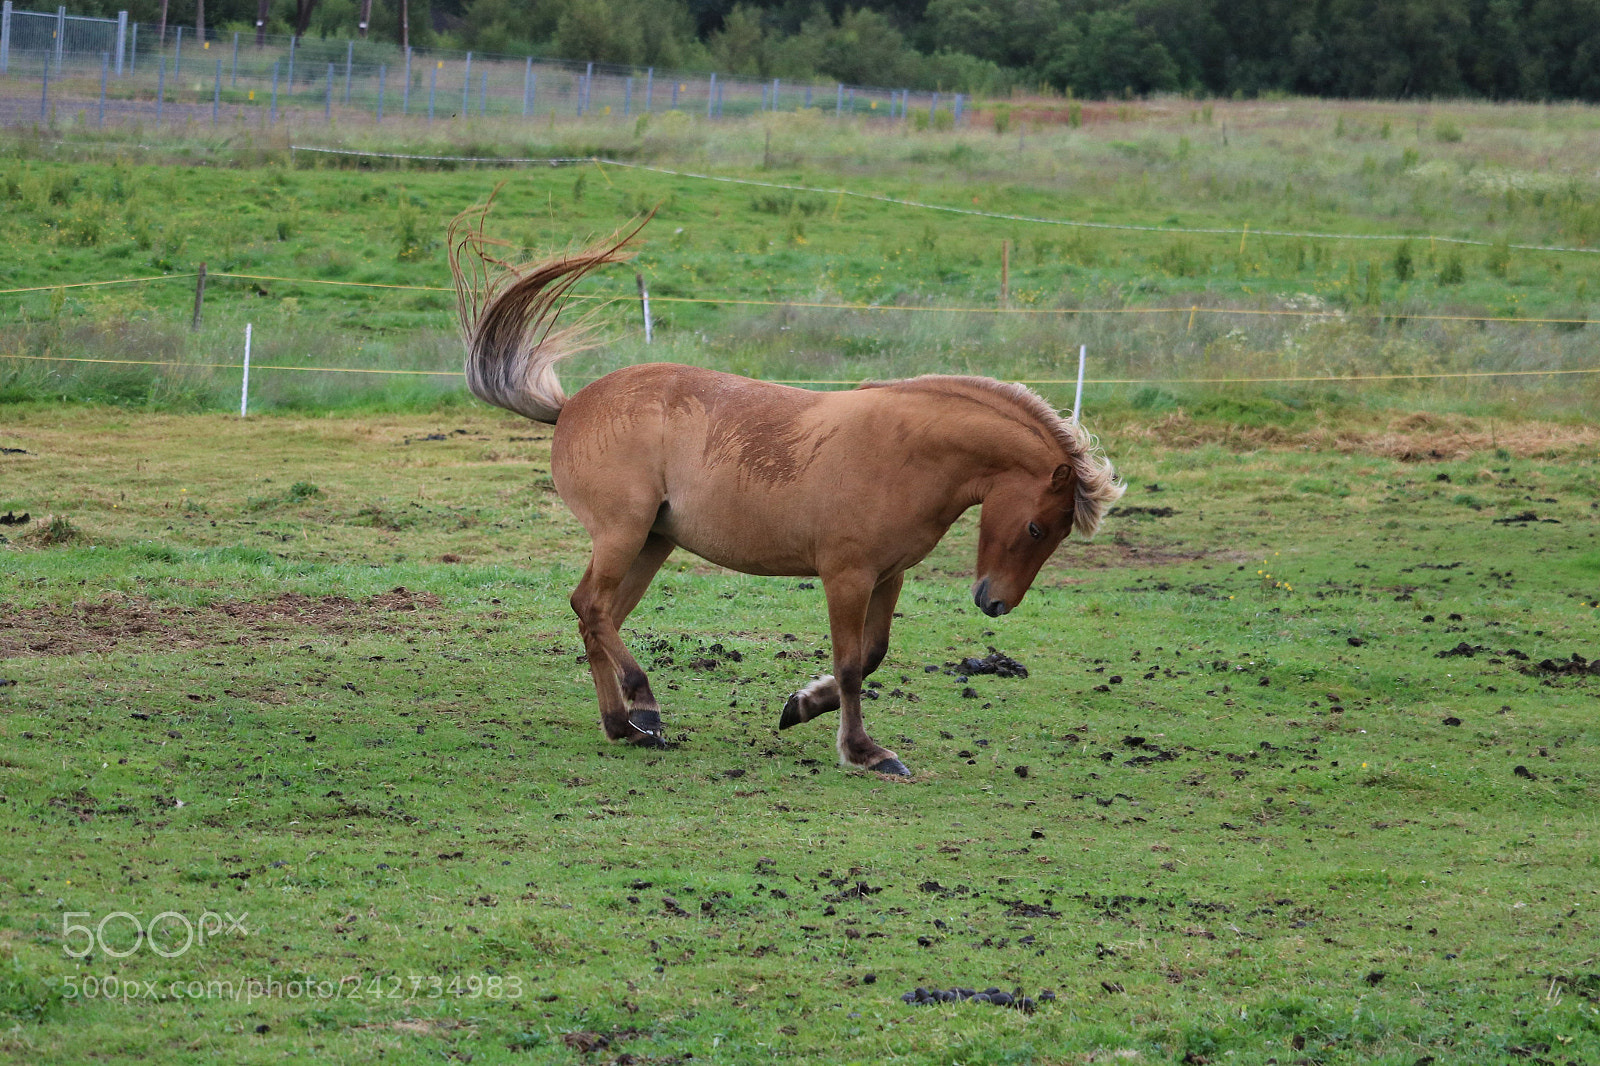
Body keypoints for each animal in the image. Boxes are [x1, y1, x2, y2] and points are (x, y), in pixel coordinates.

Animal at [449, 206, 1124, 777]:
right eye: (1036, 527)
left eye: (1056, 536)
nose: (995, 604)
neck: (907, 453)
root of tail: (571, 407)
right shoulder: (845, 576)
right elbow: (851, 665)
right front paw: (864, 751)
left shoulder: (887, 577)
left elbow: (873, 655)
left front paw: (800, 705)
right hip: (623, 534)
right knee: (590, 607)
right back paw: (643, 706)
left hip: (651, 543)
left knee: (599, 616)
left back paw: (625, 725)